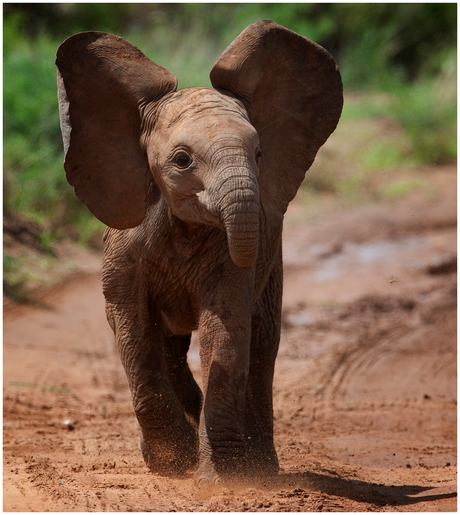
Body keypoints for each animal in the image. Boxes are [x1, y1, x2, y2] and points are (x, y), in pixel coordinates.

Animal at [56, 20, 342, 486]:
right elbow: (132, 328)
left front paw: (224, 479)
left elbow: (225, 328)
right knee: (170, 347)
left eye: (259, 154)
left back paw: (260, 467)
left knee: (263, 343)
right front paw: (172, 464)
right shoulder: (123, 249)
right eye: (182, 160)